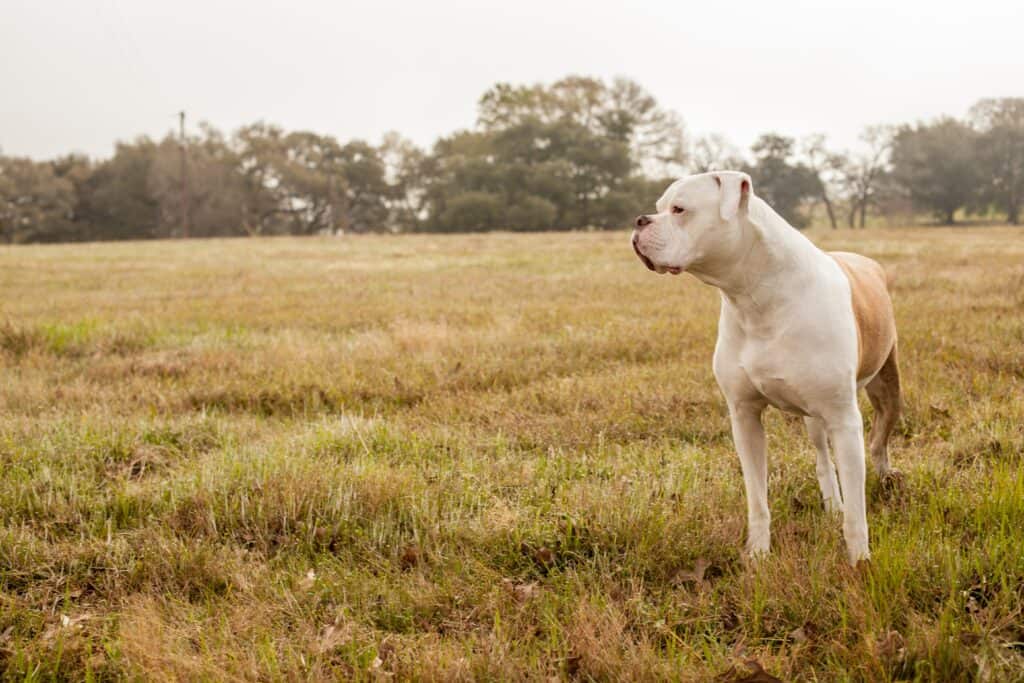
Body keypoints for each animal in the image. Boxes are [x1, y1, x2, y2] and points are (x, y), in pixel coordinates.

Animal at [626, 172, 901, 565]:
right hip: (814, 418)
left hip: (886, 390)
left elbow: (856, 511)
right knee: (822, 456)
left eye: (679, 209)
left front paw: (859, 561)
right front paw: (757, 554)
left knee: (879, 442)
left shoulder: (845, 419)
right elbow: (757, 498)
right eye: (659, 207)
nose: (639, 221)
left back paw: (887, 481)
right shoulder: (744, 416)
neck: (755, 294)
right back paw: (832, 504)